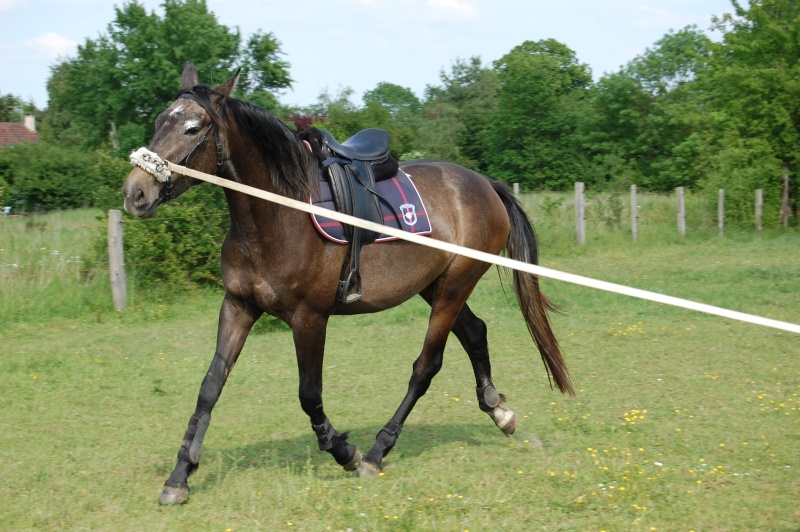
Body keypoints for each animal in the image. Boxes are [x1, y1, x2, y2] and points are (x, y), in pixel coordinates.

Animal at [122, 61, 572, 502]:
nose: (134, 193)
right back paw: (499, 411)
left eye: (192, 128)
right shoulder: (238, 306)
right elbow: (210, 387)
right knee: (475, 332)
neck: (278, 215)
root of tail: (485, 185)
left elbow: (309, 395)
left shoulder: (309, 319)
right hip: (436, 286)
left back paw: (377, 451)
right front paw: (180, 475)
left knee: (425, 367)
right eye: (159, 121)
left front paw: (344, 451)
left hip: (453, 287)